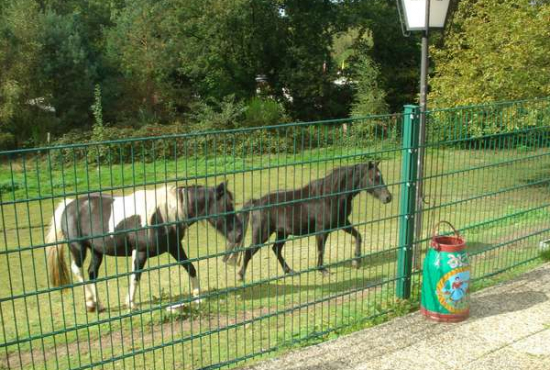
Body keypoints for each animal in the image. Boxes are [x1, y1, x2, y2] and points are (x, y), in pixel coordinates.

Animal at [46, 182, 245, 312]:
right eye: (226, 206)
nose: (239, 234)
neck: (163, 214)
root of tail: (68, 206)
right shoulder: (140, 252)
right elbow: (135, 276)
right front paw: (131, 303)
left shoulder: (175, 247)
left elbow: (191, 268)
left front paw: (198, 297)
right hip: (78, 248)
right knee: (78, 270)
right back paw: (90, 303)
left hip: (97, 251)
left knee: (92, 272)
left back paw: (98, 304)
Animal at [226, 162, 394, 280]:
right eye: (373, 178)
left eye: (381, 176)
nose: (388, 197)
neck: (330, 196)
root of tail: (257, 203)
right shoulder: (322, 229)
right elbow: (321, 249)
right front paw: (323, 270)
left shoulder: (342, 223)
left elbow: (358, 236)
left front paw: (356, 262)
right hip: (262, 234)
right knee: (249, 251)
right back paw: (241, 276)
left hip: (282, 233)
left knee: (276, 249)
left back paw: (290, 271)